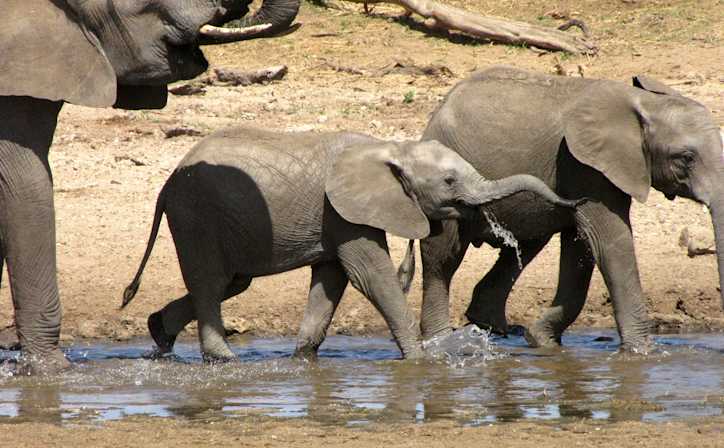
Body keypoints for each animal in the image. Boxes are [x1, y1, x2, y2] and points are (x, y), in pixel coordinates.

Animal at [120, 126, 583, 361]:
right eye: (450, 181)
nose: (575, 200)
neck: (393, 147)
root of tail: (166, 183)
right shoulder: (342, 211)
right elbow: (369, 275)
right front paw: (423, 360)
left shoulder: (336, 219)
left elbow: (332, 280)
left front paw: (303, 359)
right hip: (197, 215)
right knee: (211, 281)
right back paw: (223, 359)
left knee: (231, 282)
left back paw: (159, 333)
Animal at [411, 66, 724, 351]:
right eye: (686, 157)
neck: (643, 102)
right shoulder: (585, 167)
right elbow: (609, 242)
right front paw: (642, 352)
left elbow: (581, 247)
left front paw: (542, 341)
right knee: (442, 256)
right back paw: (441, 338)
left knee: (524, 246)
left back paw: (494, 328)